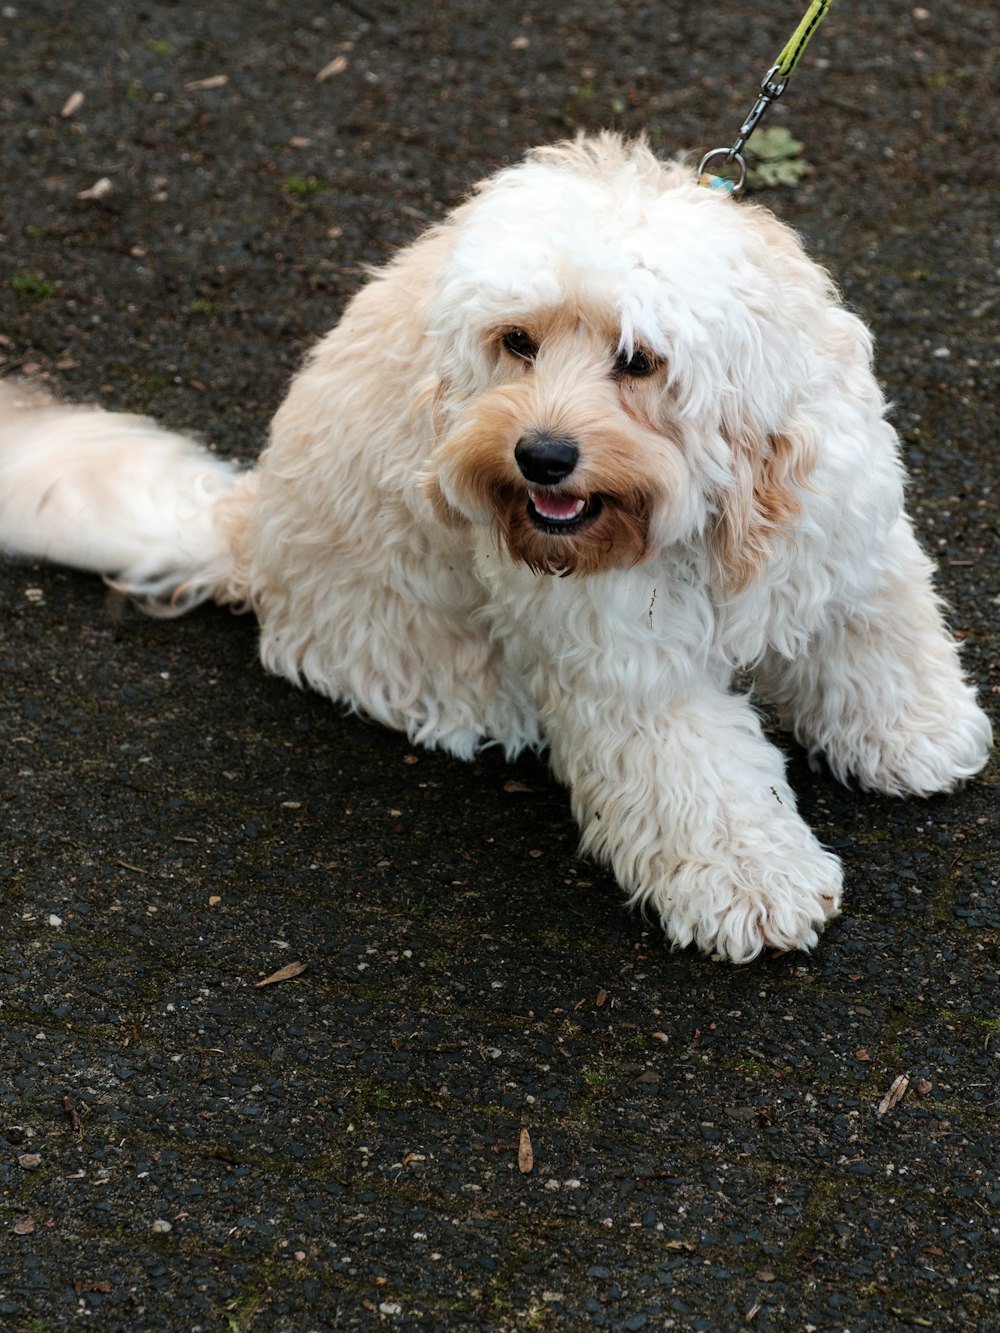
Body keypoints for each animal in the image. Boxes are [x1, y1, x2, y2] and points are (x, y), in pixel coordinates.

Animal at [0, 135, 992, 965]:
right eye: (517, 341)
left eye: (639, 359)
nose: (540, 455)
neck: (705, 511)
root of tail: (246, 525)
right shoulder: (627, 665)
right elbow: (701, 780)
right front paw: (754, 887)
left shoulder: (846, 543)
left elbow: (879, 642)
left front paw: (917, 733)